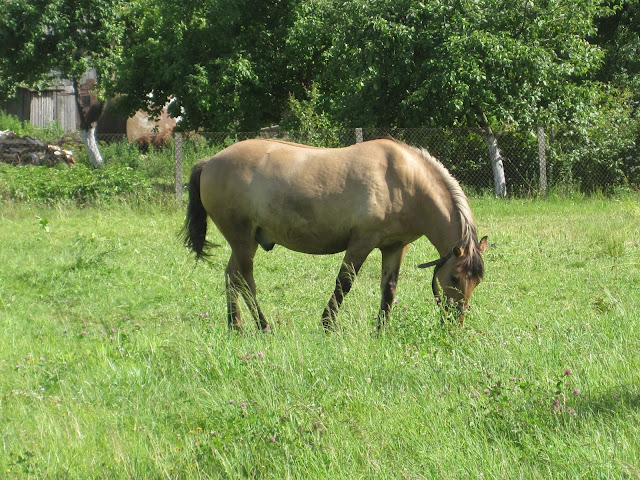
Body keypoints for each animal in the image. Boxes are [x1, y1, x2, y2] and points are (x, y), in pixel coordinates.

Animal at [182, 139, 488, 332]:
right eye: (454, 278)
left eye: (476, 282)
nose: (455, 326)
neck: (404, 181)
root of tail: (210, 162)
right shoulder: (361, 242)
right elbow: (344, 283)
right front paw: (327, 325)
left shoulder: (394, 247)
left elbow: (388, 289)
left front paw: (381, 330)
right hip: (243, 240)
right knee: (245, 281)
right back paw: (262, 325)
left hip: (246, 242)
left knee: (231, 277)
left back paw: (235, 326)